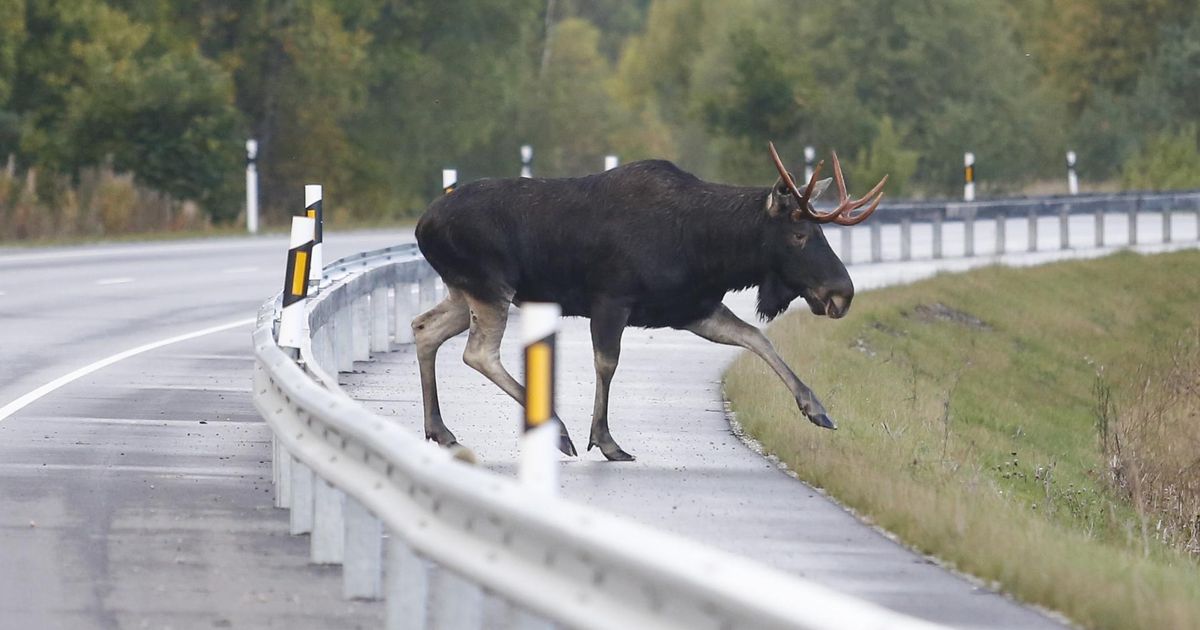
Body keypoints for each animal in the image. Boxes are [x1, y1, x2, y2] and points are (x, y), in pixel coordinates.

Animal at [417, 145, 888, 458]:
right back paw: (557, 429)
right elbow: (607, 364)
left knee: (424, 329)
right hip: (491, 286)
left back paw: (440, 430)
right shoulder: (611, 299)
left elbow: (757, 338)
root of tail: (422, 225)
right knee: (479, 352)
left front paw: (817, 409)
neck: (711, 251)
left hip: (464, 291)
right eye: (800, 234)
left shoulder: (692, 309)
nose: (842, 293)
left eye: (820, 231)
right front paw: (605, 440)